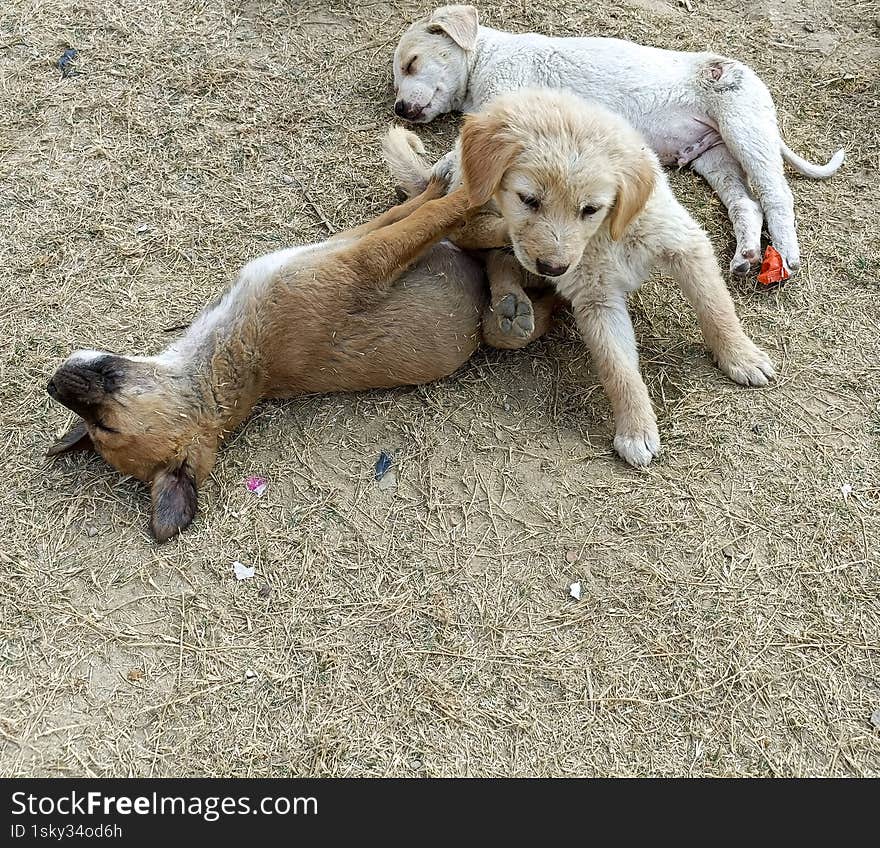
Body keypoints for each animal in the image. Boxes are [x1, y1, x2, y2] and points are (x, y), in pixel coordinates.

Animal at [44, 181, 552, 544]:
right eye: (104, 429)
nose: (51, 385)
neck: (226, 364)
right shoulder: (366, 261)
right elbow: (429, 217)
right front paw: (467, 191)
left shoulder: (340, 246)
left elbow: (402, 212)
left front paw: (437, 183)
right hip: (496, 320)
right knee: (522, 292)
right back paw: (514, 302)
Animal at [388, 89, 772, 468]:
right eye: (528, 199)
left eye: (590, 209)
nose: (552, 268)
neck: (605, 235)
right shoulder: (596, 299)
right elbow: (618, 368)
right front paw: (635, 429)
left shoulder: (684, 244)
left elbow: (716, 307)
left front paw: (741, 356)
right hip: (480, 206)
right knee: (483, 240)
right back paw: (510, 304)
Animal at [394, 4, 844, 274]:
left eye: (412, 63)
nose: (399, 108)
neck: (484, 57)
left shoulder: (513, 101)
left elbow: (459, 151)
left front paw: (438, 172)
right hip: (714, 156)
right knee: (746, 204)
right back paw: (747, 255)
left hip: (744, 128)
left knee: (776, 195)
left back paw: (785, 252)